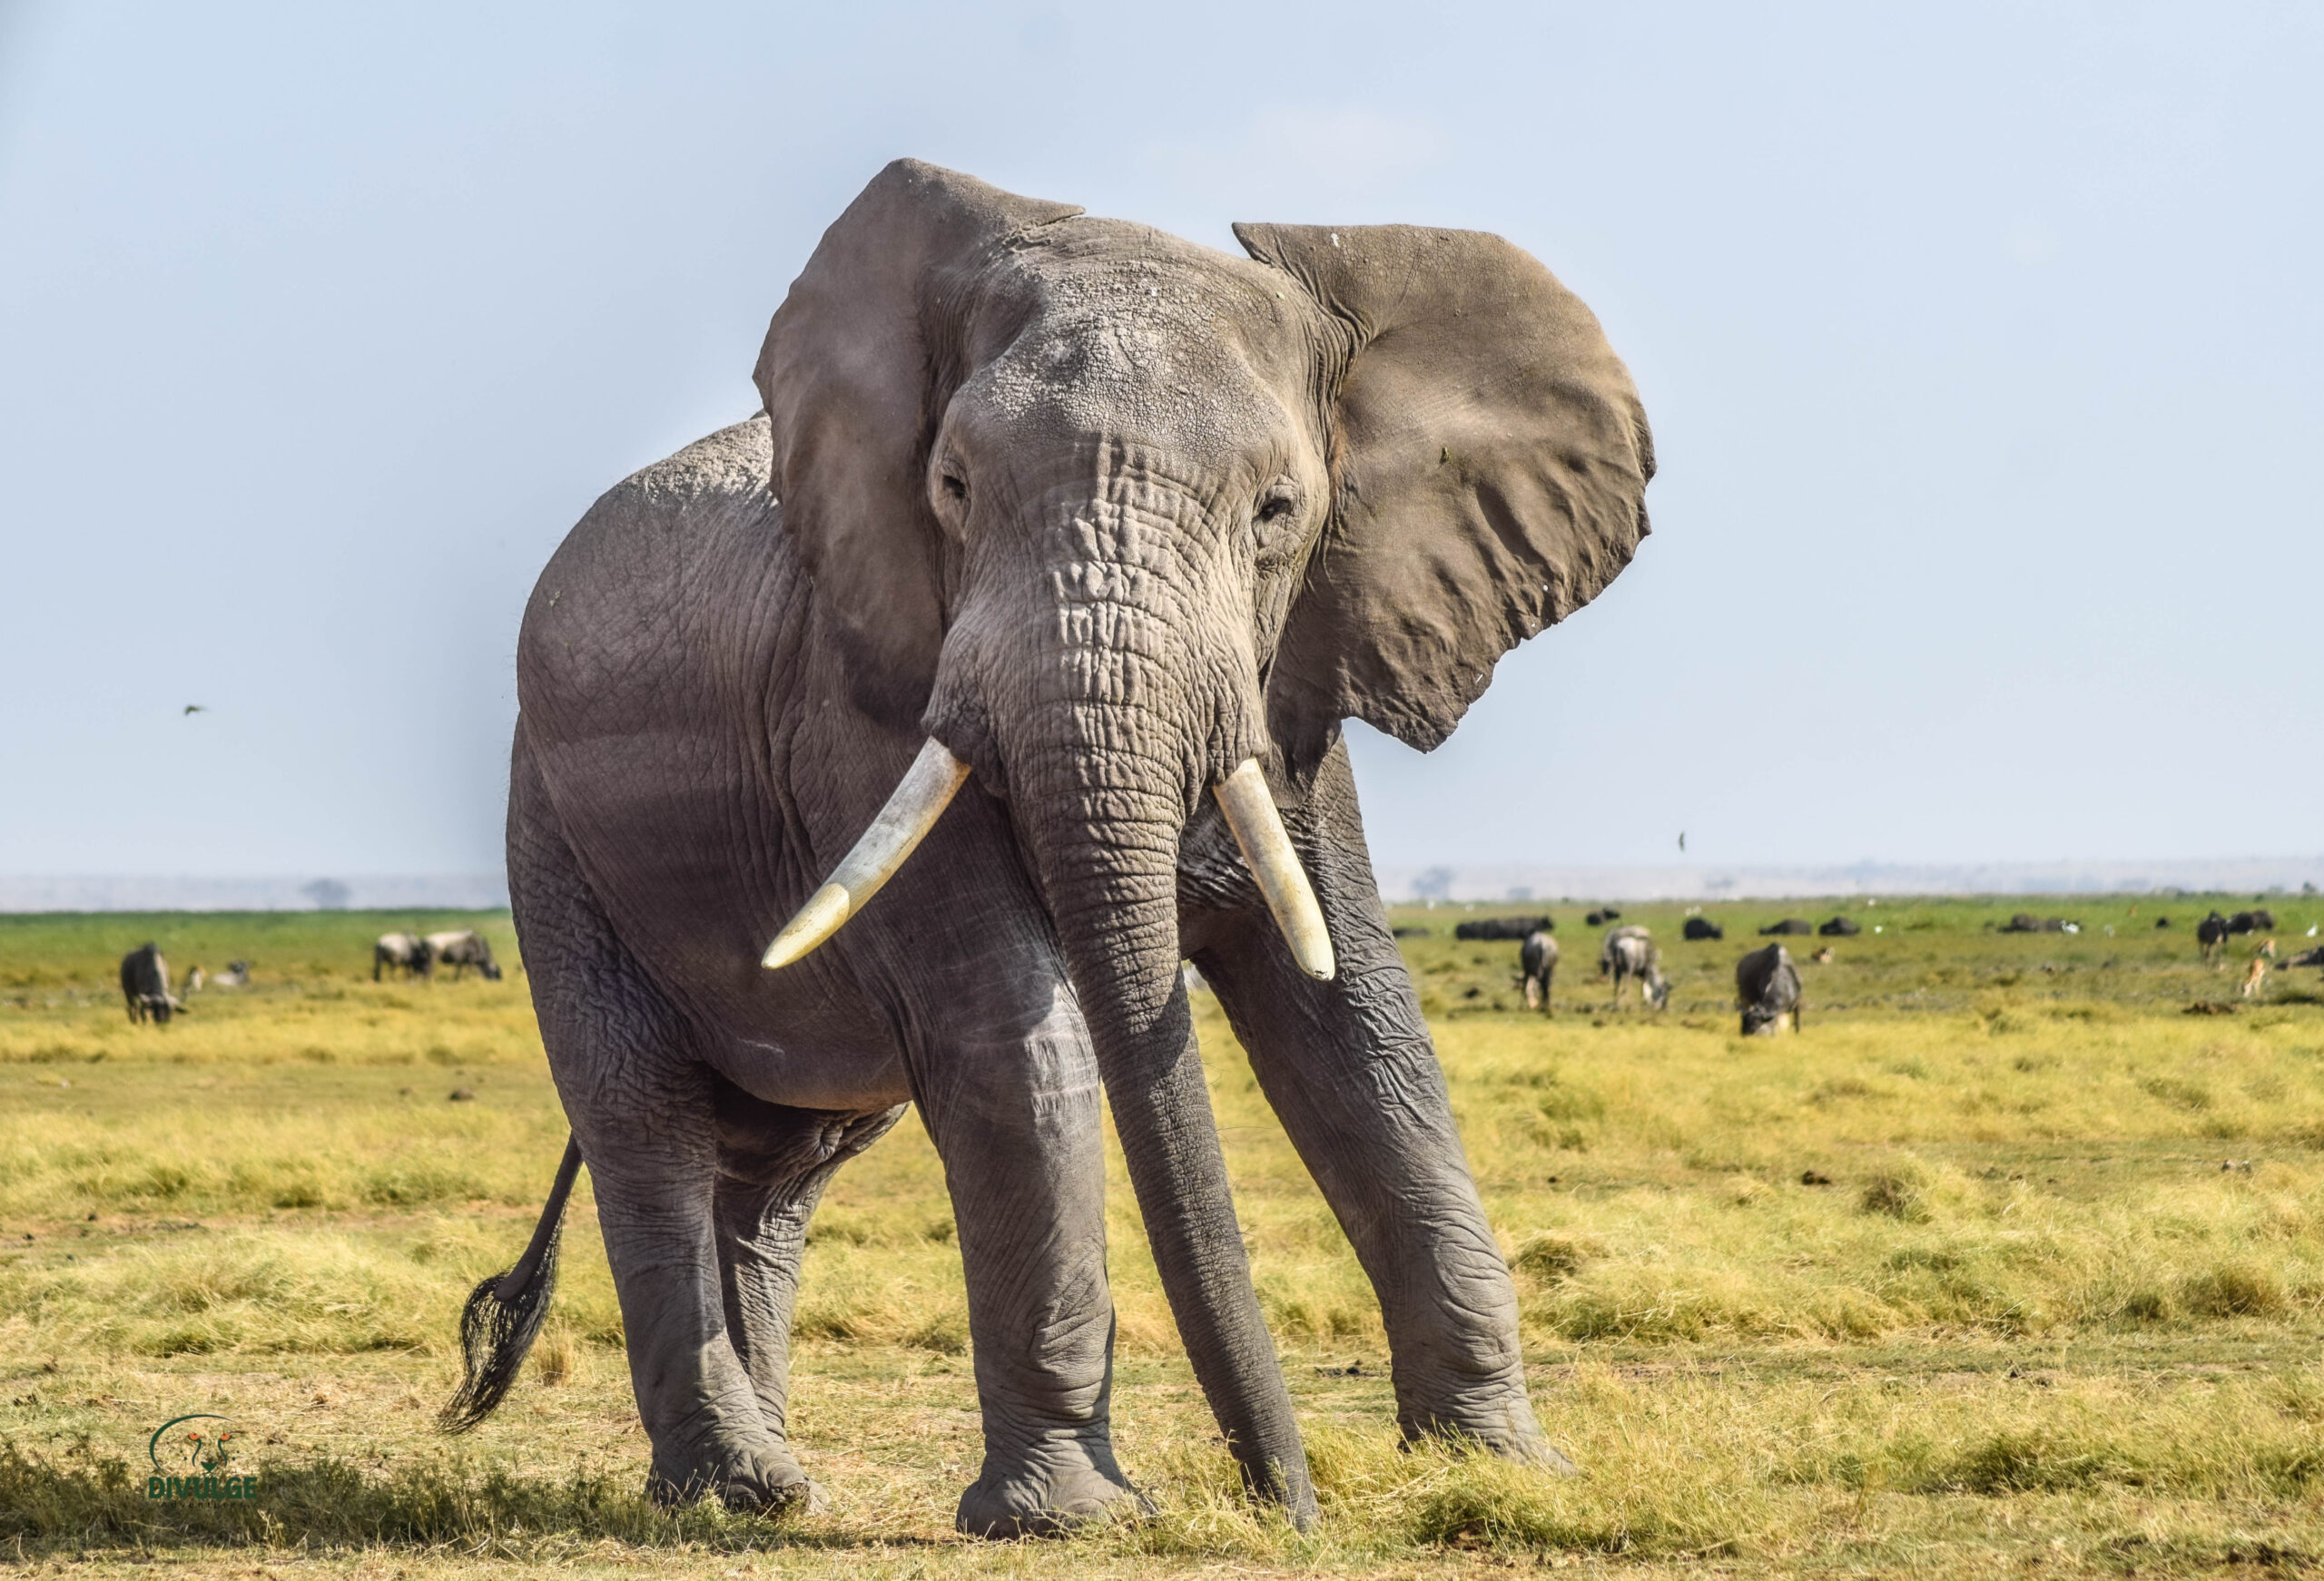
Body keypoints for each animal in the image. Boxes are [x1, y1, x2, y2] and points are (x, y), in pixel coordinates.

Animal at [443, 160, 1654, 1537]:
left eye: (1278, 512)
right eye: (955, 487)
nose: (1285, 1505)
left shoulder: (1303, 679)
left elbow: (1357, 1028)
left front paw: (1505, 1468)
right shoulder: (861, 704)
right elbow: (1014, 1038)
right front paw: (1072, 1517)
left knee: (773, 1172)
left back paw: (770, 1483)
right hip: (551, 828)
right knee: (646, 1125)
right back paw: (733, 1486)